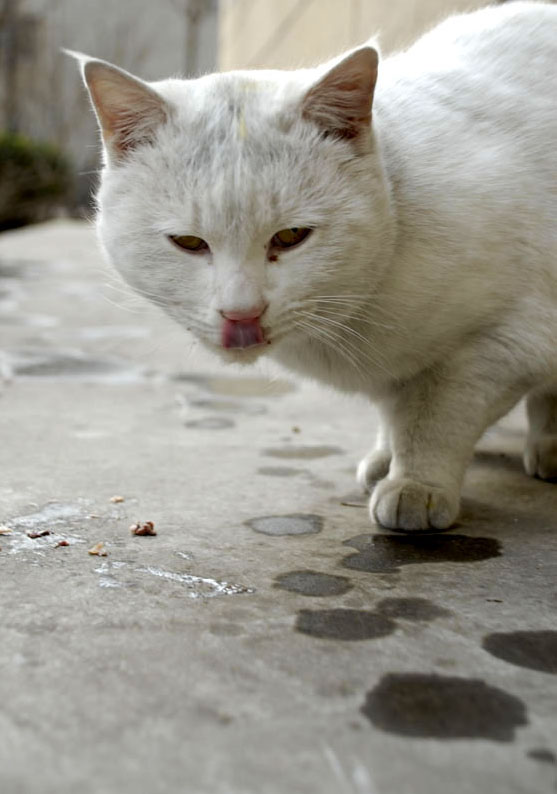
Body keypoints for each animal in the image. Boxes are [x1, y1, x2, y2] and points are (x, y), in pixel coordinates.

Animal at [74, 3, 556, 532]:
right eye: (188, 243)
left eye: (290, 237)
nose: (241, 313)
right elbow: (399, 410)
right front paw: (388, 455)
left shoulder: (506, 341)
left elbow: (439, 415)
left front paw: (417, 483)